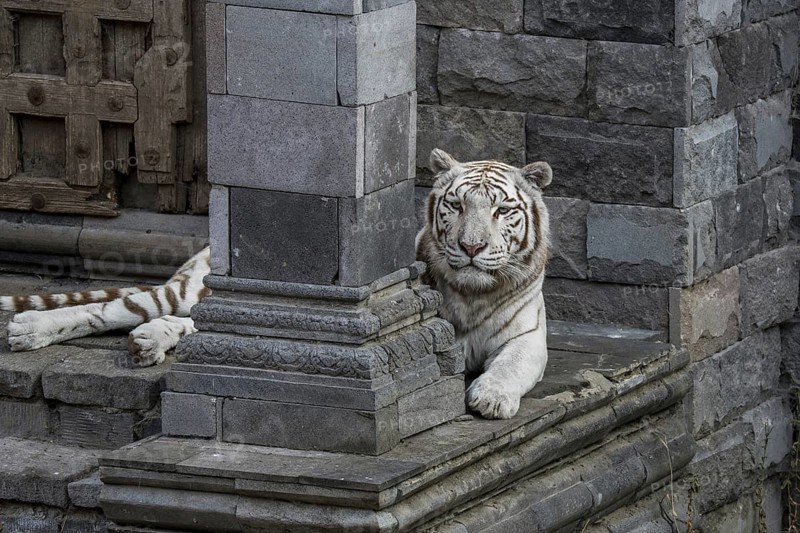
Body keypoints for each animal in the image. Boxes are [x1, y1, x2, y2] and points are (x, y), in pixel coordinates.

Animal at [416, 149, 553, 420]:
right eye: (457, 205)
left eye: (501, 210)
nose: (471, 247)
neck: (473, 296)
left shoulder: (528, 334)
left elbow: (511, 364)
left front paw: (492, 399)